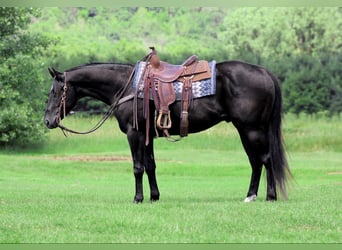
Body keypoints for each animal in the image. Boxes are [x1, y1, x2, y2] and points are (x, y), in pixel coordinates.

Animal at [44, 59, 292, 202]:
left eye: (55, 92)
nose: (48, 120)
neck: (126, 86)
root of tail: (264, 72)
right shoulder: (147, 136)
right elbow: (150, 166)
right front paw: (154, 197)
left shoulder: (134, 134)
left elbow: (137, 167)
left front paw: (138, 198)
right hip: (245, 130)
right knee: (256, 162)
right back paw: (250, 196)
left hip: (252, 129)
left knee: (265, 159)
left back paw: (270, 196)